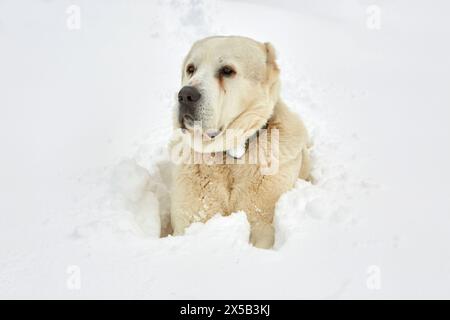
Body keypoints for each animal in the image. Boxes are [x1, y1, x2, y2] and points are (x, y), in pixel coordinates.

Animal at [169, 36, 310, 249]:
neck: (230, 157)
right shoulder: (194, 214)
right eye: (191, 69)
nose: (185, 94)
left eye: (227, 70)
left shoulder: (261, 218)